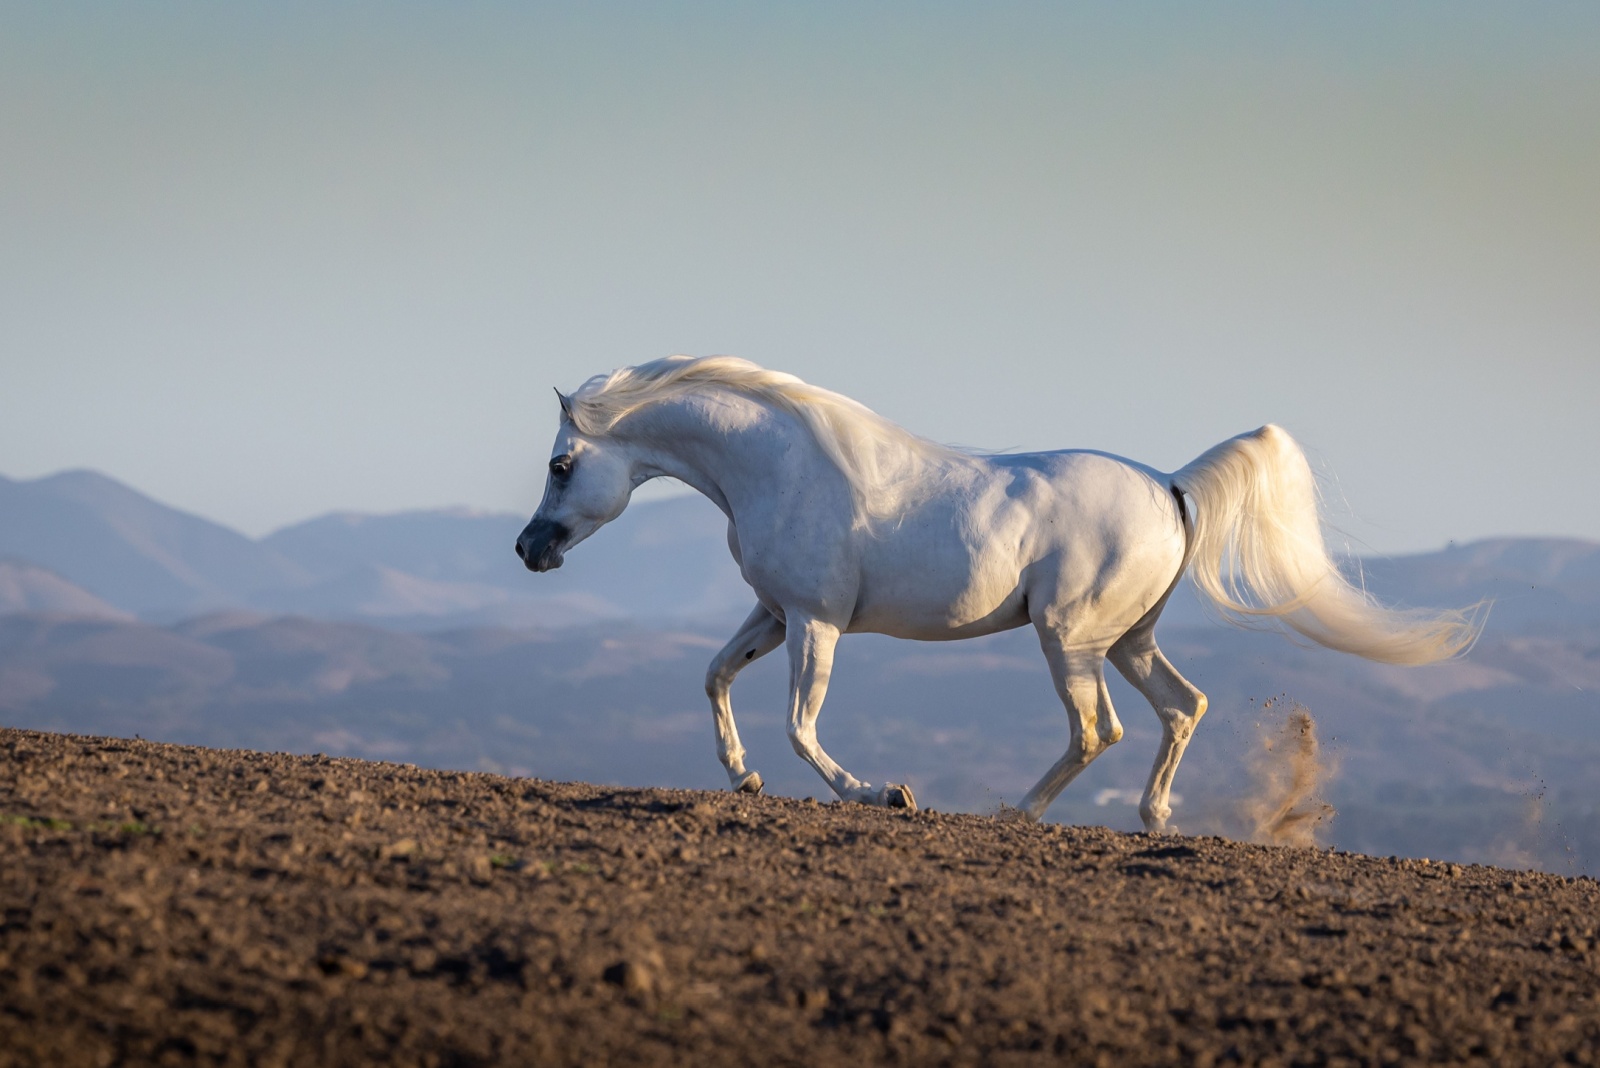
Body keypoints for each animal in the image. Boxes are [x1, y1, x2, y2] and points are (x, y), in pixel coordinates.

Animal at [518, 354, 1478, 831]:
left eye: (562, 465)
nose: (529, 550)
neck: (780, 466)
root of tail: (1171, 485)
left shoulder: (817, 623)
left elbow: (801, 725)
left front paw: (884, 795)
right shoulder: (775, 613)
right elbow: (716, 676)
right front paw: (742, 777)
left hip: (1069, 636)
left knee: (1099, 728)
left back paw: (1017, 813)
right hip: (1125, 640)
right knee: (1180, 707)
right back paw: (1152, 818)